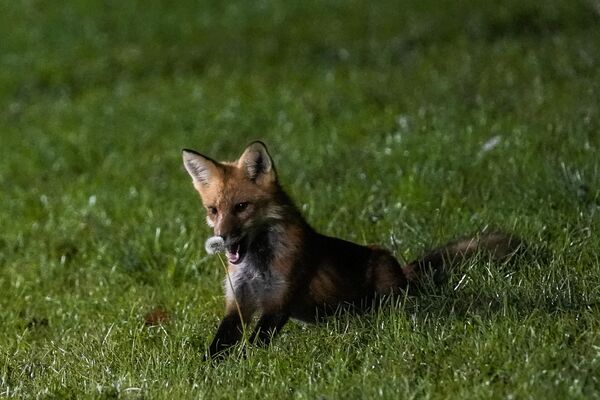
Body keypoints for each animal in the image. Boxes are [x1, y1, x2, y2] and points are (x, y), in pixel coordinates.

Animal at [180, 141, 516, 360]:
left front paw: (242, 366)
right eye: (213, 210)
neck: (257, 264)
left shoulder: (279, 302)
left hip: (385, 290)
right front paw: (207, 370)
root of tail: (403, 270)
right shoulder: (239, 301)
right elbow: (217, 346)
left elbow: (253, 346)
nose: (222, 237)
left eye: (241, 207)